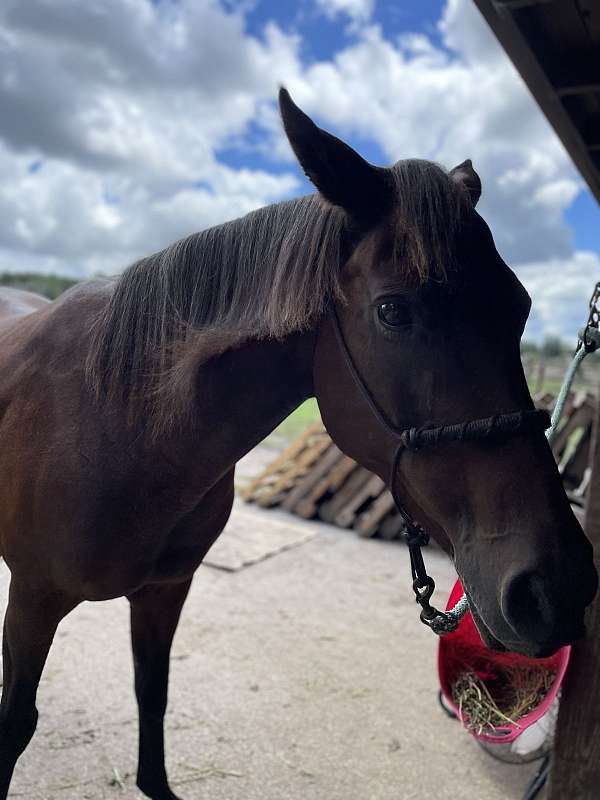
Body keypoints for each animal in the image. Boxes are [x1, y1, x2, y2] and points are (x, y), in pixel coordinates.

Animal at [0, 87, 592, 800]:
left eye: (520, 306)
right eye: (393, 311)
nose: (557, 586)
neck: (122, 426)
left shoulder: (166, 591)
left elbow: (153, 694)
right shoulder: (32, 602)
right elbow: (15, 724)